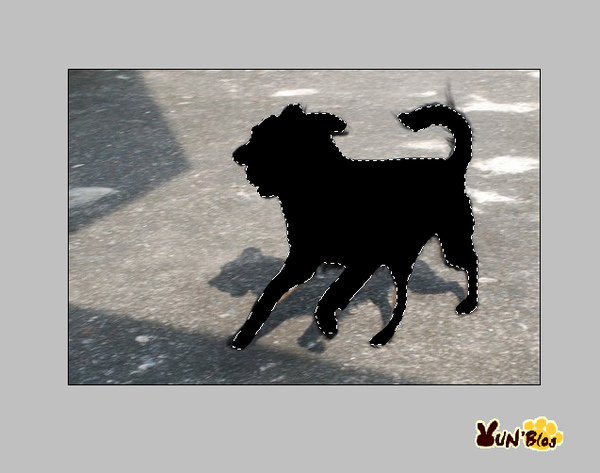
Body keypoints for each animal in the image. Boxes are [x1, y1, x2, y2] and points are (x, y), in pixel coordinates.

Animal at [230, 101, 478, 350]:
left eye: (265, 138)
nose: (236, 155)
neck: (320, 186)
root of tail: (450, 166)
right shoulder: (303, 261)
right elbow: (270, 293)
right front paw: (244, 335)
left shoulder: (364, 261)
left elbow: (332, 294)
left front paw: (326, 324)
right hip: (402, 256)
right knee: (402, 300)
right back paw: (385, 334)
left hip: (450, 243)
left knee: (468, 264)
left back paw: (469, 303)